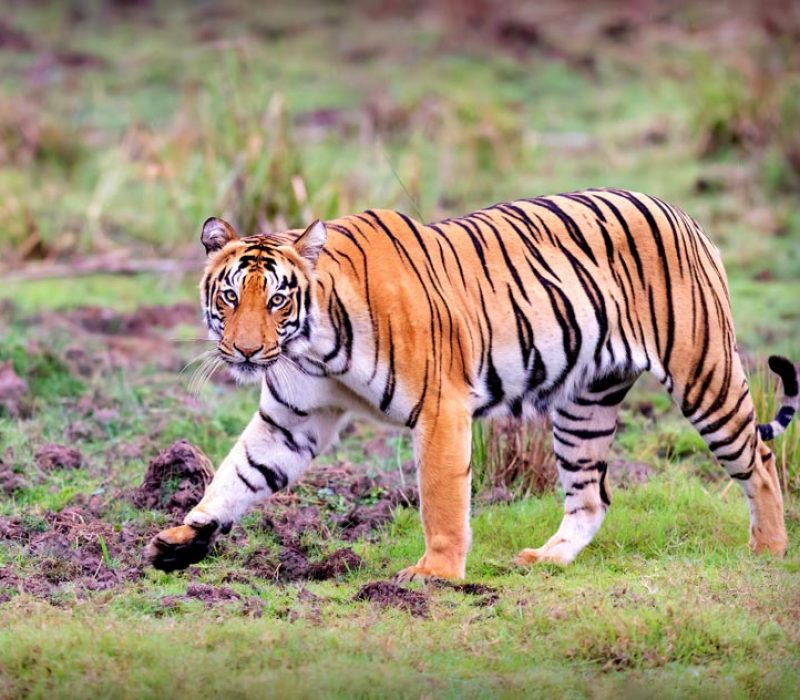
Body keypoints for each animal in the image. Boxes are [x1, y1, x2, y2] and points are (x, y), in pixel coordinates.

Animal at [144, 188, 797, 580]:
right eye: (231, 296)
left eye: (278, 299)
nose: (246, 350)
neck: (314, 348)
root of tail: (682, 212)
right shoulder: (291, 421)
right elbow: (235, 476)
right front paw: (182, 538)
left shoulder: (440, 407)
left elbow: (441, 497)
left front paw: (434, 575)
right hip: (584, 406)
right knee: (591, 496)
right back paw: (547, 560)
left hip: (703, 374)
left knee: (760, 460)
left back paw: (768, 550)